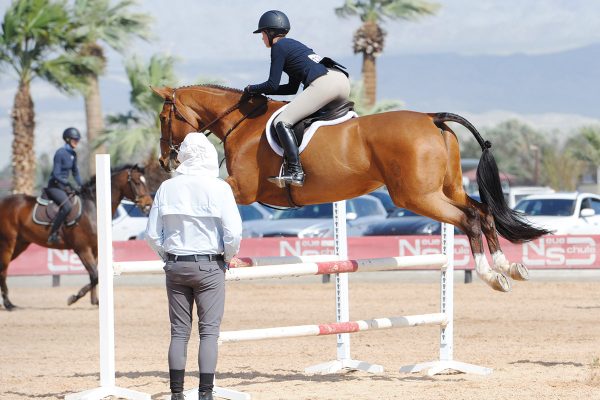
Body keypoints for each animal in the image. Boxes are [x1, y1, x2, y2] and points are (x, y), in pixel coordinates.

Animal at [0, 165, 154, 310]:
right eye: (137, 182)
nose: (148, 204)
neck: (94, 207)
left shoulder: (95, 249)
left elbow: (94, 276)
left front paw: (96, 301)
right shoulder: (82, 249)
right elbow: (95, 275)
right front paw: (73, 298)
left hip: (21, 244)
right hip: (8, 243)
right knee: (3, 269)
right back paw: (8, 304)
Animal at [152, 84, 552, 292]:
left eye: (162, 117)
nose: (164, 160)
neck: (242, 123)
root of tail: (432, 118)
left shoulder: (244, 189)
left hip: (417, 196)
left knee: (469, 218)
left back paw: (491, 274)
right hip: (446, 188)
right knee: (483, 213)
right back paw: (509, 267)